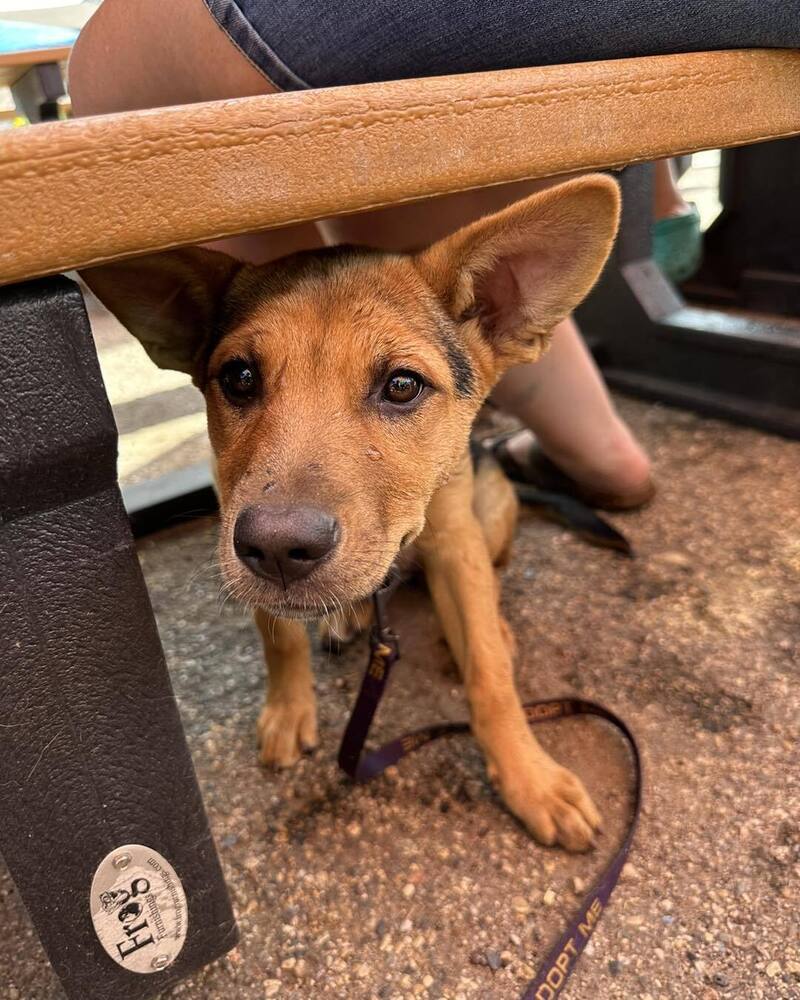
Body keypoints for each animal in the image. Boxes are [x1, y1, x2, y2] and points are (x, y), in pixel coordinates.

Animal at [89, 176, 624, 848]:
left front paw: (530, 778)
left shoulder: (454, 539)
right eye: (239, 377)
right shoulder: (234, 515)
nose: (278, 551)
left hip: (491, 506)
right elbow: (278, 639)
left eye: (402, 385)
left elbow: (490, 677)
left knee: (492, 581)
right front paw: (288, 711)